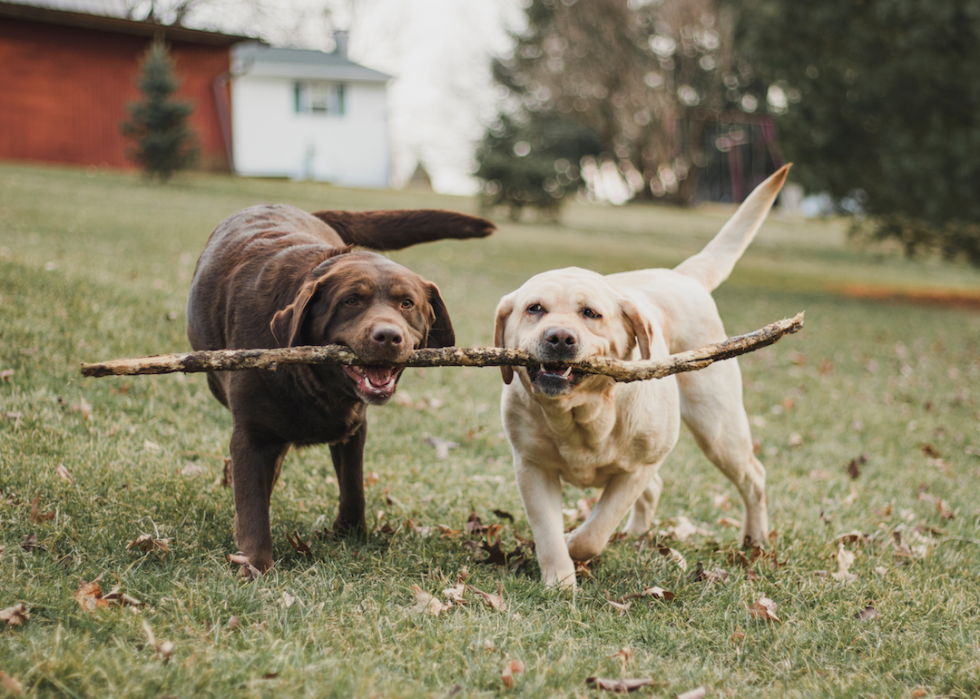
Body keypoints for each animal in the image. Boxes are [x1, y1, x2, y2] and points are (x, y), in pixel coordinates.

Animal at [188, 204, 494, 576]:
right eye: (351, 301)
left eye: (407, 304)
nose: (388, 336)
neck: (317, 384)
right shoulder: (250, 433)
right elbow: (252, 507)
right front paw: (256, 566)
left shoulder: (354, 428)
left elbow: (353, 485)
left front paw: (350, 533)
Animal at [494, 164, 792, 584]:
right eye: (534, 309)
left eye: (591, 313)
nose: (560, 337)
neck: (583, 415)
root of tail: (683, 275)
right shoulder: (532, 467)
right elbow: (548, 533)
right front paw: (560, 580)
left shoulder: (640, 467)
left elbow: (594, 532)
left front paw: (574, 544)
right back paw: (636, 537)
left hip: (718, 428)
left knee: (754, 477)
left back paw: (755, 540)